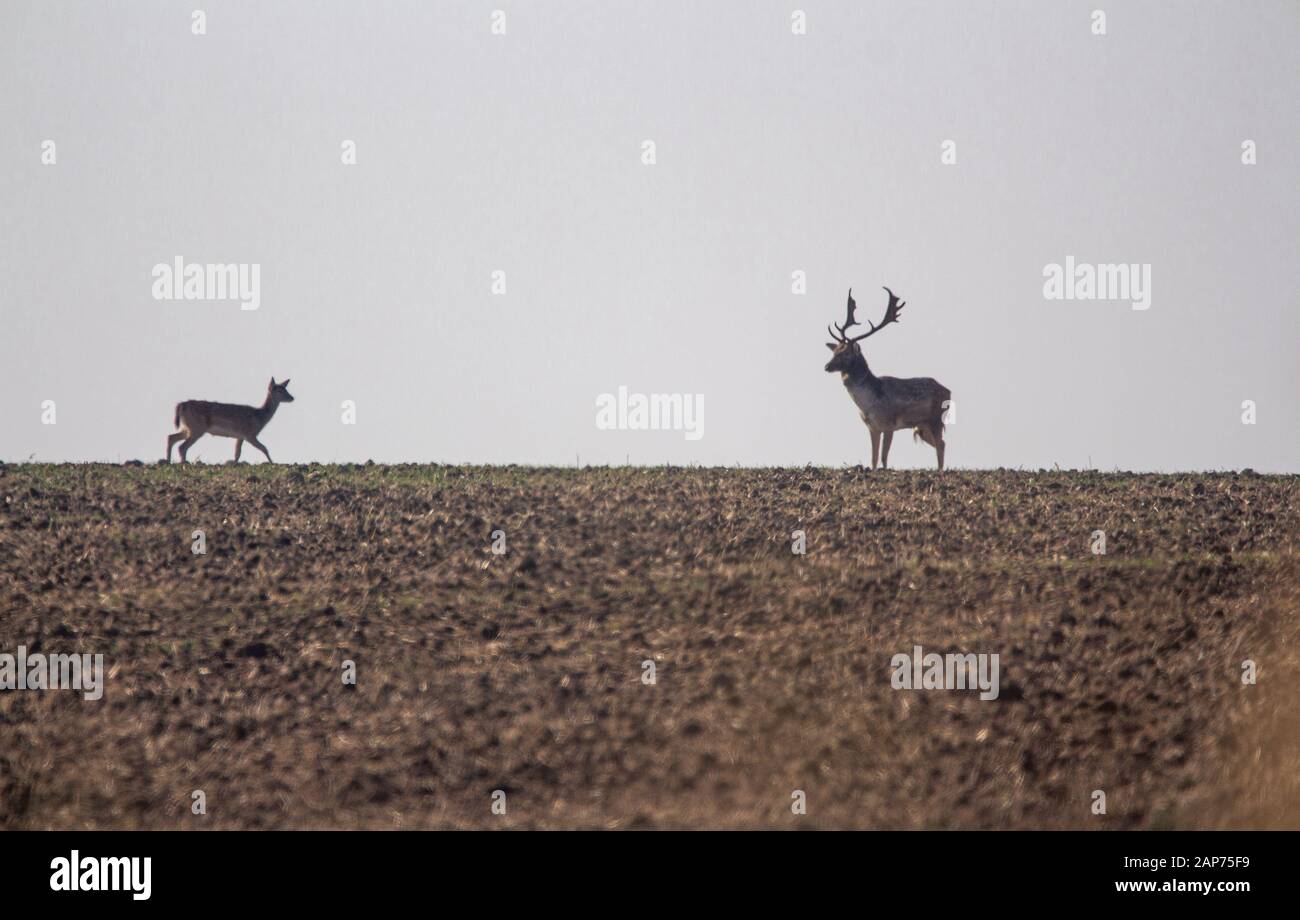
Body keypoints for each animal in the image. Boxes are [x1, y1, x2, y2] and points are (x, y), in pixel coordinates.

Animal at [826, 287, 951, 470]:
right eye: (834, 352)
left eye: (847, 353)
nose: (827, 366)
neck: (868, 404)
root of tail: (949, 392)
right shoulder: (872, 427)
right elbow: (873, 458)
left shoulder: (889, 424)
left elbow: (884, 458)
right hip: (922, 426)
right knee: (941, 443)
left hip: (935, 419)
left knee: (941, 444)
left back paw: (939, 471)